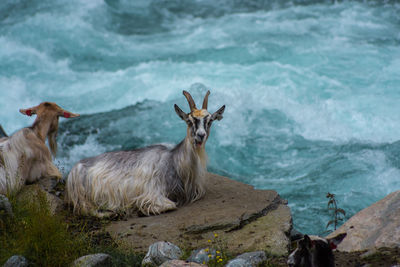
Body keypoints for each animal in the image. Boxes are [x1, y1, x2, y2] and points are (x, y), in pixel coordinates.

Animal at [66, 90, 225, 218]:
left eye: (210, 121)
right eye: (189, 120)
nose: (200, 135)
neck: (175, 161)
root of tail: (74, 169)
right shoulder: (151, 193)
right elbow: (169, 205)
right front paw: (136, 209)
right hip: (83, 197)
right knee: (85, 210)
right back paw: (113, 212)